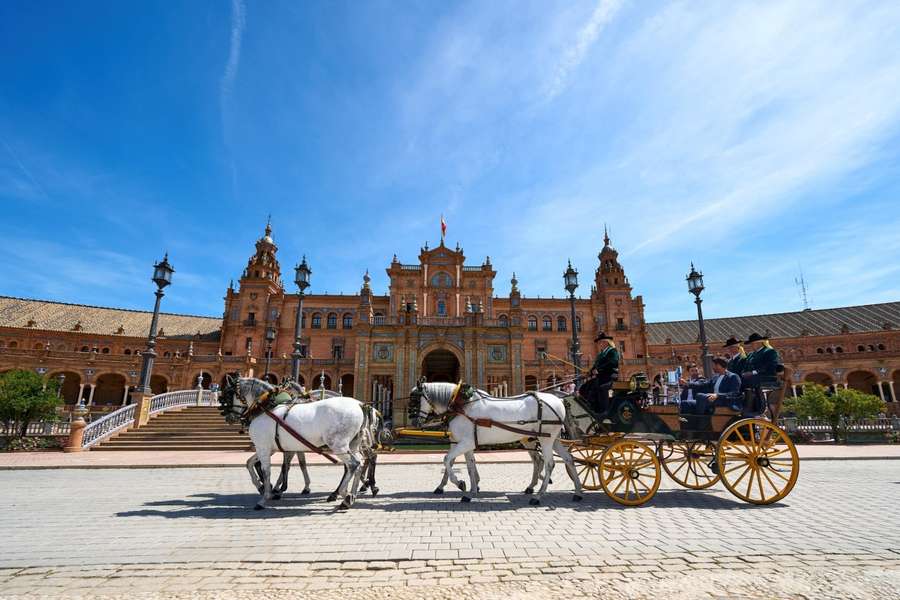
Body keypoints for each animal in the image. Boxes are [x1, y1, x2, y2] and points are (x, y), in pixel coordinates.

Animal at [219, 376, 371, 510]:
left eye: (227, 393)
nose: (228, 417)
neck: (266, 407)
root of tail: (359, 404)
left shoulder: (263, 447)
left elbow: (267, 471)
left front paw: (265, 496)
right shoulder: (270, 448)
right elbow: (250, 463)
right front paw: (262, 486)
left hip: (338, 444)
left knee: (353, 464)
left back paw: (343, 494)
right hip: (353, 444)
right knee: (358, 464)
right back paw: (351, 495)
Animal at [409, 381, 582, 505]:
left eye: (415, 399)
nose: (414, 422)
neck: (461, 405)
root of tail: (558, 400)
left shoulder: (466, 443)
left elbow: (447, 460)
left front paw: (460, 484)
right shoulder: (464, 444)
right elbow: (468, 466)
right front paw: (471, 491)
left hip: (545, 439)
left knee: (549, 464)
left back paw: (538, 496)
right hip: (552, 439)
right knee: (567, 459)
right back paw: (578, 492)